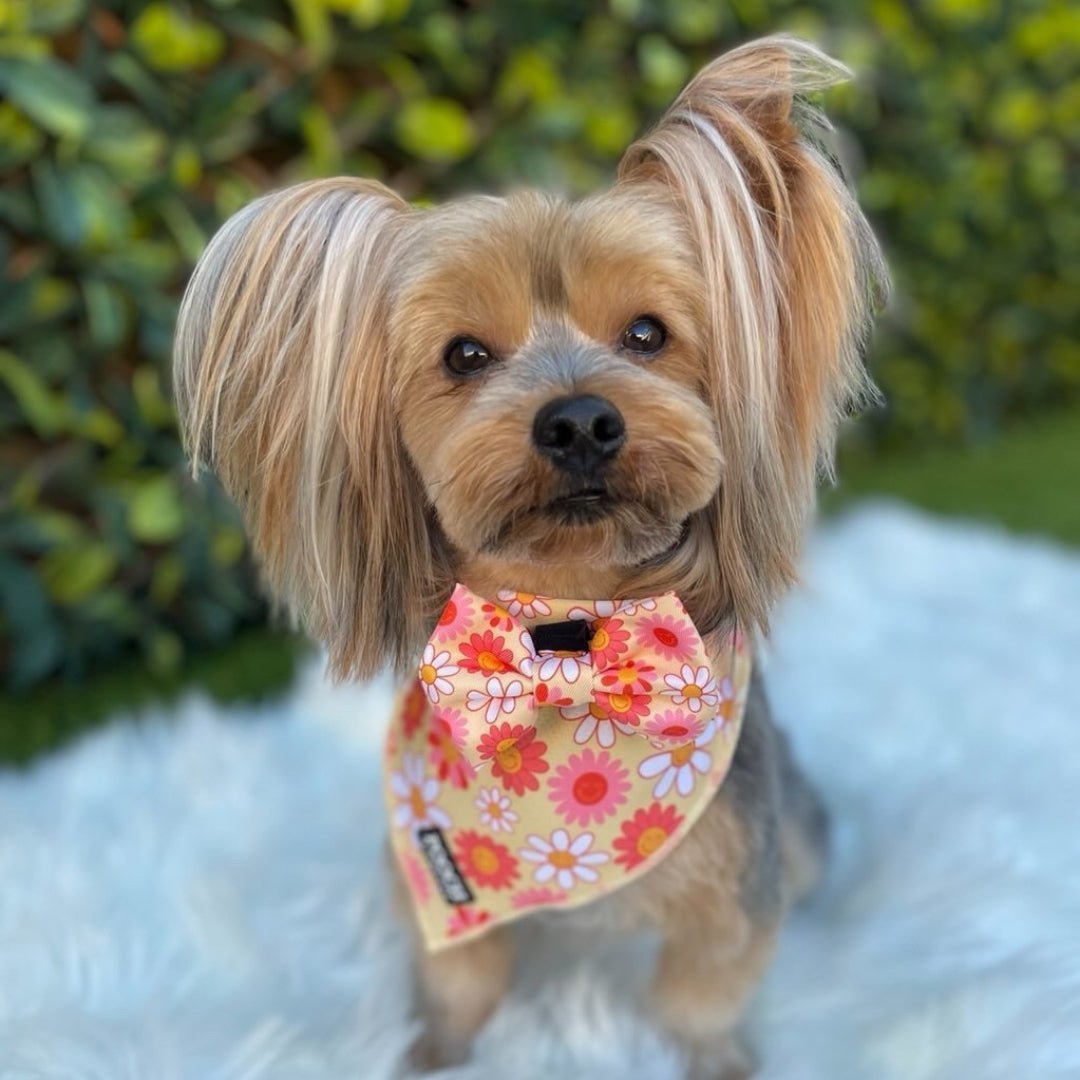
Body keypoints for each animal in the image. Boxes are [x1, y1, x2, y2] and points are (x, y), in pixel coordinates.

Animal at [172, 35, 881, 1080]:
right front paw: (430, 1055)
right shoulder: (437, 875)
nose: (580, 420)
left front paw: (718, 1060)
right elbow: (459, 984)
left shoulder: (732, 885)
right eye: (464, 355)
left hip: (798, 823)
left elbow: (702, 995)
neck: (568, 636)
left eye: (647, 334)